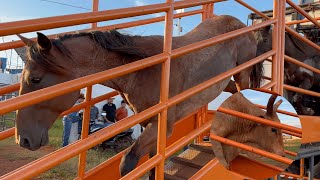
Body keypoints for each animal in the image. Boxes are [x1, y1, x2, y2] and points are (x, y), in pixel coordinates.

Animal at [14, 15, 262, 177]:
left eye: (35, 79)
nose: (22, 139)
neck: (144, 68)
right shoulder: (149, 126)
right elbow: (152, 164)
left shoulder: (161, 125)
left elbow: (128, 163)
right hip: (228, 82)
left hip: (242, 74)